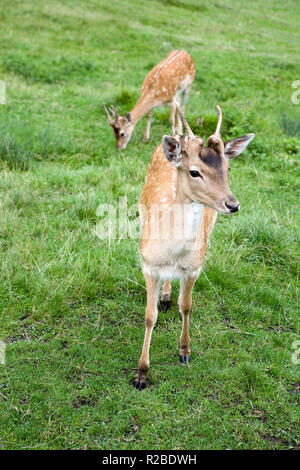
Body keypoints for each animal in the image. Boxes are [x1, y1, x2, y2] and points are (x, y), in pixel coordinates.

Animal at [135, 104, 254, 392]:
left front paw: (185, 351)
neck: (173, 251)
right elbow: (149, 316)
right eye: (194, 172)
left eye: (228, 169)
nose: (233, 204)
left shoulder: (195, 267)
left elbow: (187, 306)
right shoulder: (148, 264)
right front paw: (141, 373)